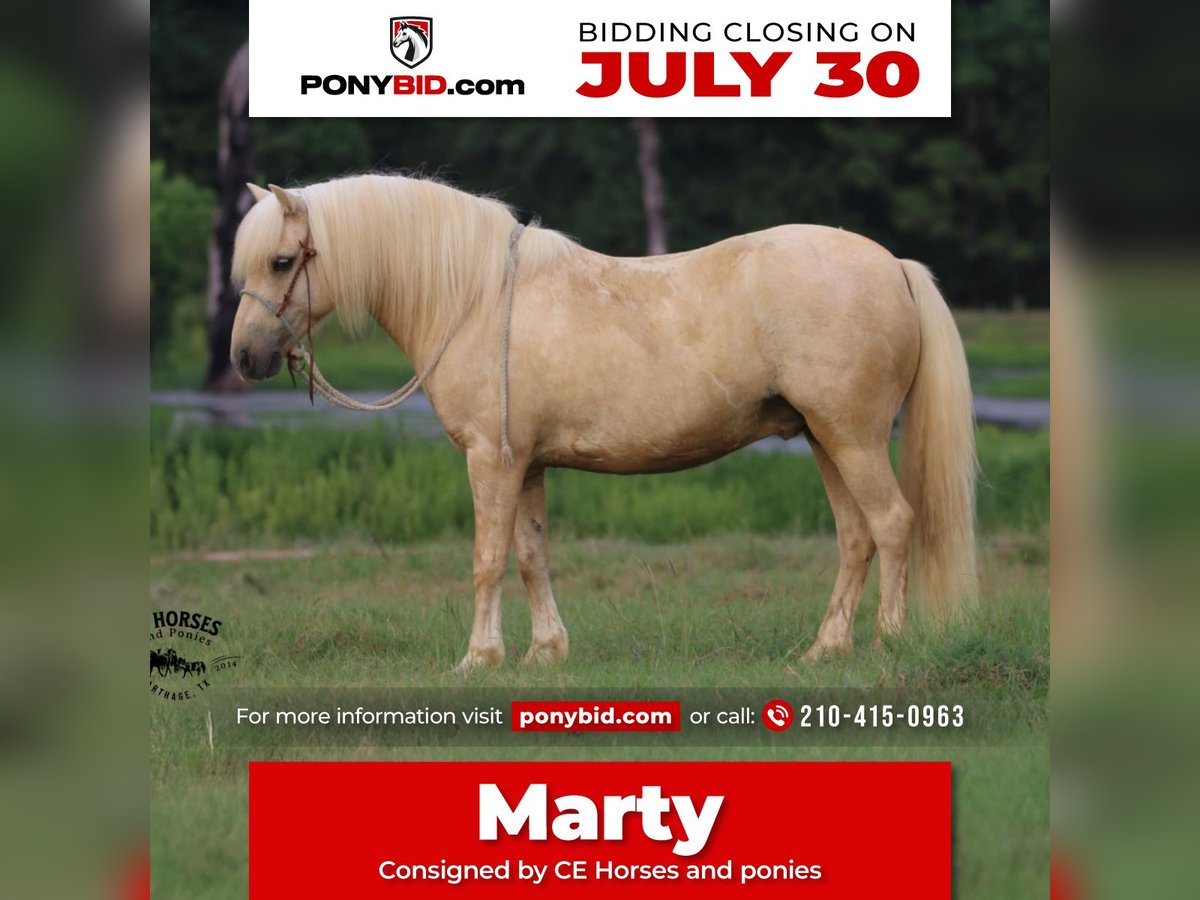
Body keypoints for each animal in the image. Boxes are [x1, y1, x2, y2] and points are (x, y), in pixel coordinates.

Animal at [230, 174, 978, 671]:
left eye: (282, 260)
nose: (243, 357)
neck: (474, 298)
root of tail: (893, 265)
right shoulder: (526, 464)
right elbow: (530, 556)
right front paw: (545, 652)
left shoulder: (490, 461)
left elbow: (486, 560)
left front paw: (478, 658)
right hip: (827, 439)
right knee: (856, 537)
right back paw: (825, 649)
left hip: (852, 438)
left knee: (892, 524)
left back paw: (887, 642)